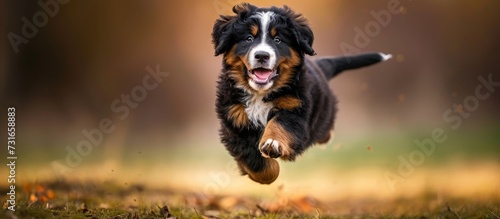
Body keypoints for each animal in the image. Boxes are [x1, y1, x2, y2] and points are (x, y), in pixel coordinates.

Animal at [211, 3, 390, 185]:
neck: (260, 94)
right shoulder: (235, 121)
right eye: (248, 38)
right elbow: (255, 159)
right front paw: (266, 173)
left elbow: (280, 125)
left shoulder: (294, 108)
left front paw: (273, 143)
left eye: (278, 40)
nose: (262, 55)